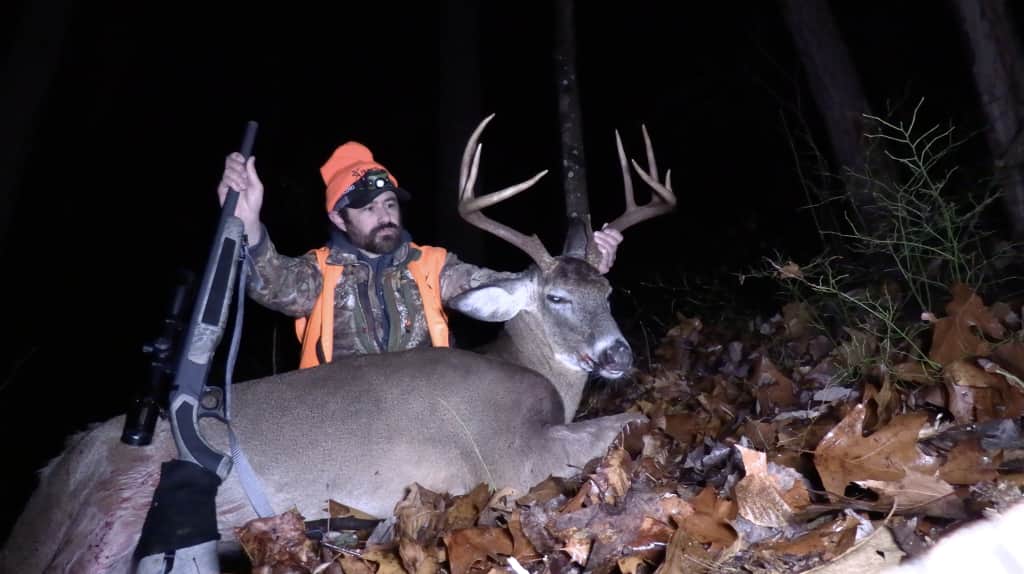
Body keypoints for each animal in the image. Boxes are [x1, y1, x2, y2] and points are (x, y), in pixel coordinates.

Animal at [0, 115, 677, 573]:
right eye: (556, 298)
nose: (618, 354)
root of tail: (57, 471)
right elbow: (629, 420)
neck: (532, 373)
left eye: (607, 290)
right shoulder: (508, 456)